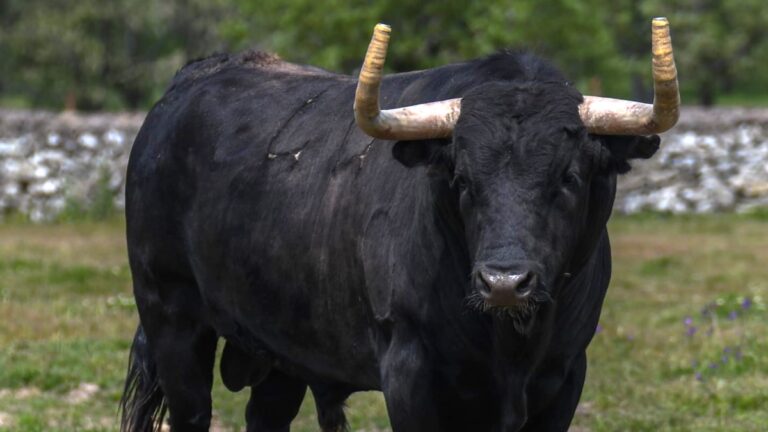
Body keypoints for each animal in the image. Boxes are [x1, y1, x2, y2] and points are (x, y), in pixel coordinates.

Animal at [118, 49, 660, 430]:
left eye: (569, 177)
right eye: (462, 179)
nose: (504, 283)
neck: (511, 348)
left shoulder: (565, 373)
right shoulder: (410, 371)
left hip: (281, 348)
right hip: (170, 315)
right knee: (191, 412)